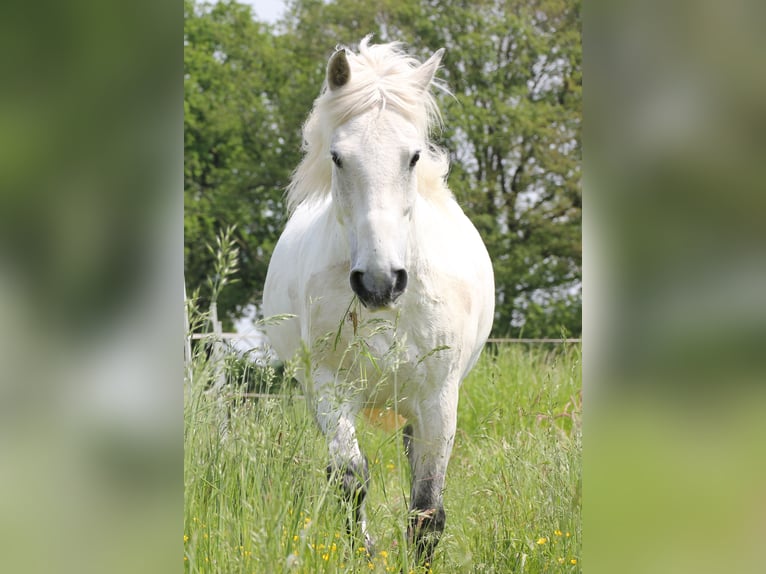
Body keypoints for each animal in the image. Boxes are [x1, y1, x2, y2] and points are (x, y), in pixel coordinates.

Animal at [263, 37, 495, 565]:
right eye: (337, 157)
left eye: (413, 157)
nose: (379, 282)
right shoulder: (330, 388)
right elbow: (351, 479)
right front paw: (363, 553)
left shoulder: (439, 398)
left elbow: (427, 509)